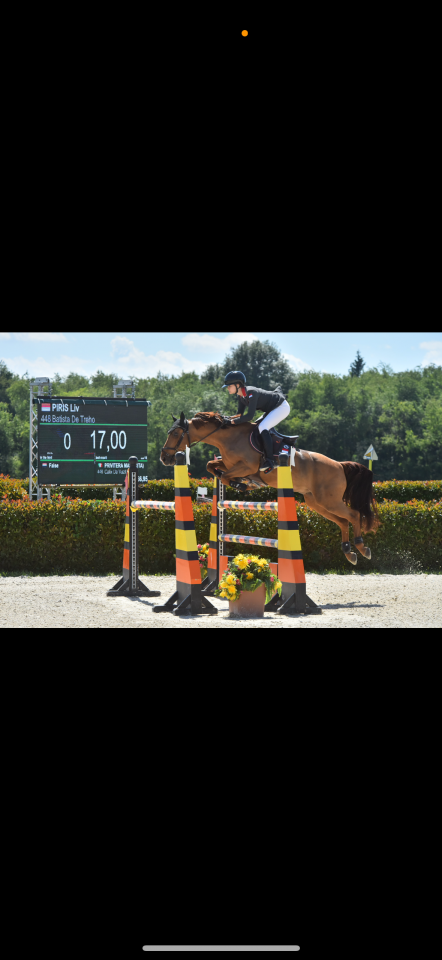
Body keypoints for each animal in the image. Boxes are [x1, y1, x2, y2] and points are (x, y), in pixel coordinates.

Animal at [160, 412, 379, 565]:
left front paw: (242, 484)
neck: (229, 437)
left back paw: (362, 548)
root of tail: (339, 465)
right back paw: (349, 552)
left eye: (176, 433)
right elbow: (211, 466)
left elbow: (226, 475)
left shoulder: (247, 466)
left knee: (353, 515)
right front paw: (241, 482)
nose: (164, 458)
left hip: (329, 500)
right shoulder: (228, 463)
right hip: (316, 502)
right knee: (343, 521)